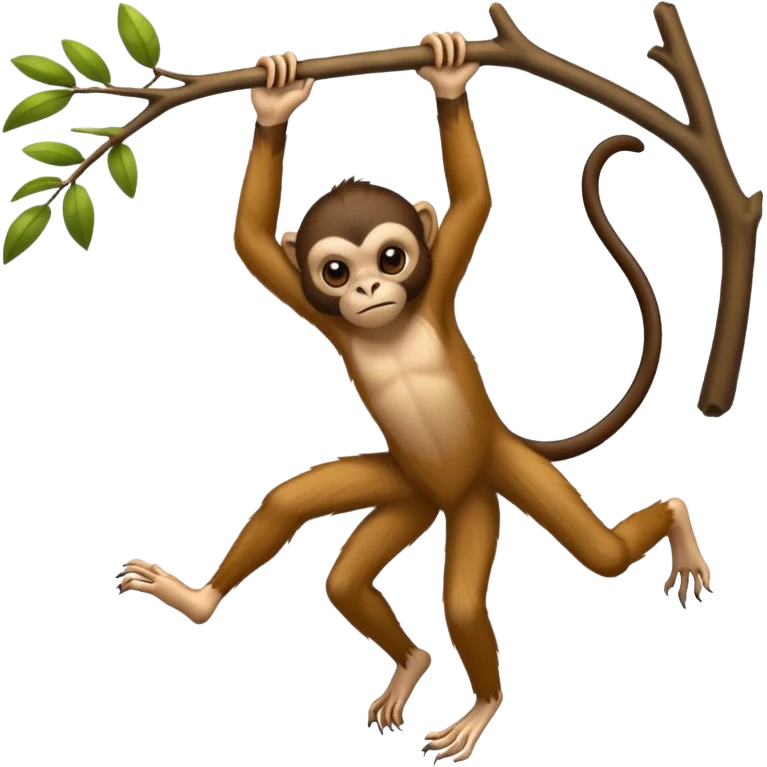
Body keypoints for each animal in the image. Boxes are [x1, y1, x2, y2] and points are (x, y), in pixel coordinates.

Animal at [116, 33, 712, 765]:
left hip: (485, 486)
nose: (369, 291)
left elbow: (474, 197)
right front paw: (275, 95)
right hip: (403, 490)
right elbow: (251, 238)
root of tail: (450, 491)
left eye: (392, 259)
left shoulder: (439, 276)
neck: (392, 322)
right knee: (326, 553)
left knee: (556, 570)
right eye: (335, 271)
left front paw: (450, 72)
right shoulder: (312, 302)